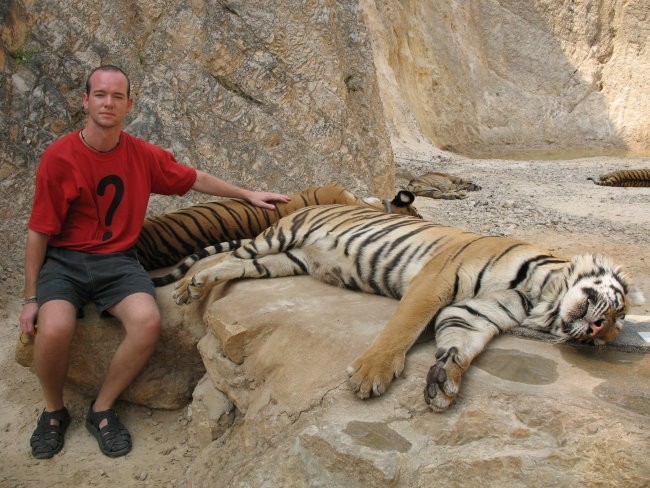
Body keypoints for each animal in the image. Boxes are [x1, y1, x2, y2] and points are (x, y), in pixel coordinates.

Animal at [167, 205, 644, 412]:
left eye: (611, 332)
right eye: (618, 312)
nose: (597, 331)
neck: (539, 294)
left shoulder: (475, 313)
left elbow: (459, 346)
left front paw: (445, 381)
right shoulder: (436, 280)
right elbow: (403, 328)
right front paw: (371, 375)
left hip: (283, 262)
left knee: (236, 265)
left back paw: (198, 286)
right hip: (277, 239)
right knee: (228, 257)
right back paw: (187, 288)